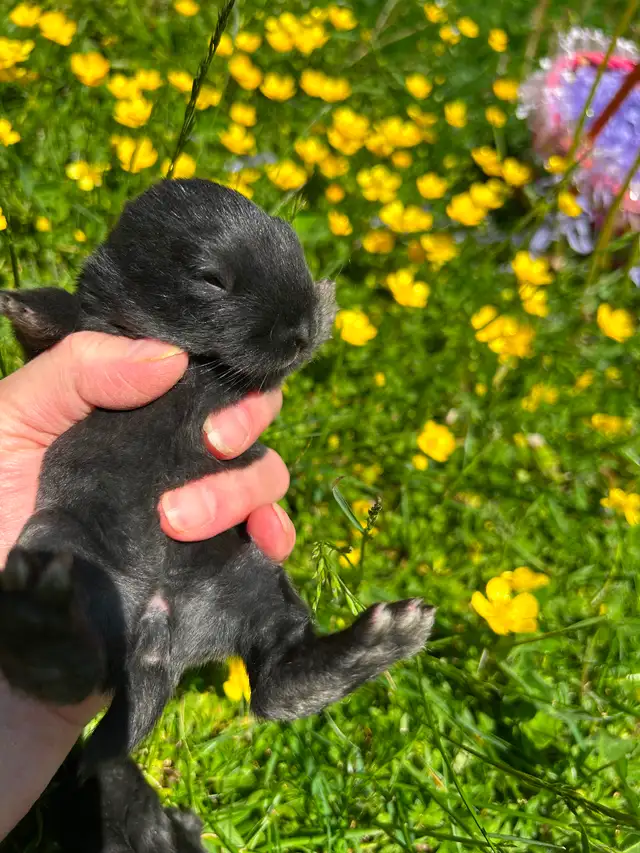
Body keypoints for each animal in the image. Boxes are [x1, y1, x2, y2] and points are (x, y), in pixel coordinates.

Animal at [0, 179, 435, 776]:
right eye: (211, 278)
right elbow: (61, 318)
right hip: (64, 535)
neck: (198, 364)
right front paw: (15, 299)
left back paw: (383, 639)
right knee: (63, 670)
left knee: (274, 684)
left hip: (256, 583)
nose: (301, 332)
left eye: (296, 255)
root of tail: (158, 634)